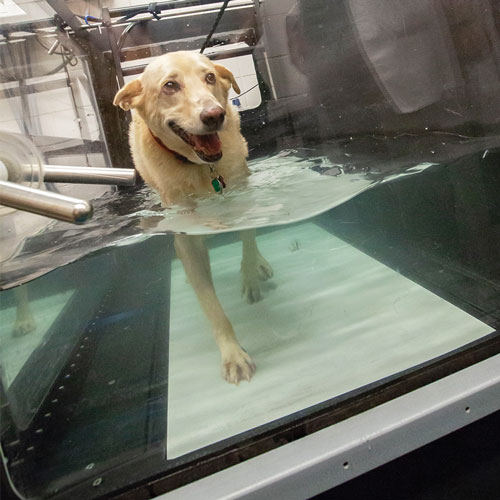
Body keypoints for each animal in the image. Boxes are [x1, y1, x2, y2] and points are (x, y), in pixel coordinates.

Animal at [114, 50, 274, 384]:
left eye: (209, 77)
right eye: (170, 85)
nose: (214, 115)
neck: (201, 167)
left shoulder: (241, 190)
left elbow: (248, 240)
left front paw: (250, 276)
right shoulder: (187, 234)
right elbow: (212, 306)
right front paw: (233, 355)